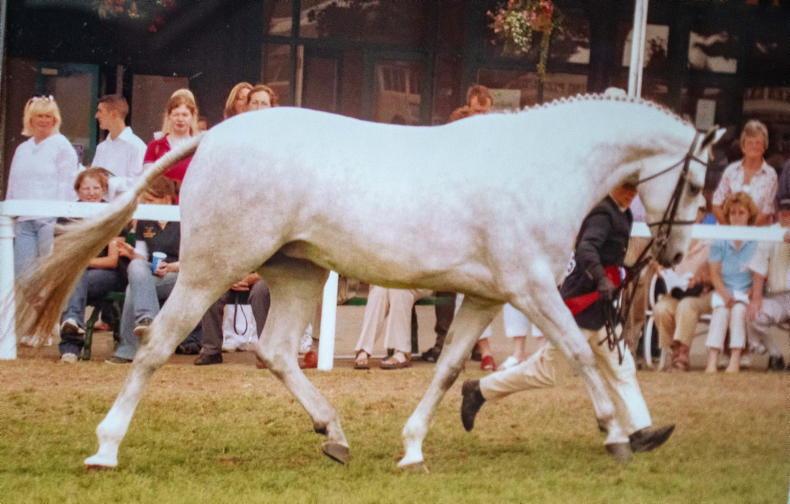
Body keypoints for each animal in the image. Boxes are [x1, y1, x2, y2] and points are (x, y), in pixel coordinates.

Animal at [14, 93, 722, 470]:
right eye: (696, 178)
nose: (674, 250)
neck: (542, 169)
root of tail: (213, 138)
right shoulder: (533, 289)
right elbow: (578, 353)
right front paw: (617, 435)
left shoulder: (486, 296)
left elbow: (449, 369)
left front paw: (412, 449)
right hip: (214, 269)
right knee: (157, 343)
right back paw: (105, 450)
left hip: (297, 272)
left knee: (276, 352)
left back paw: (335, 435)